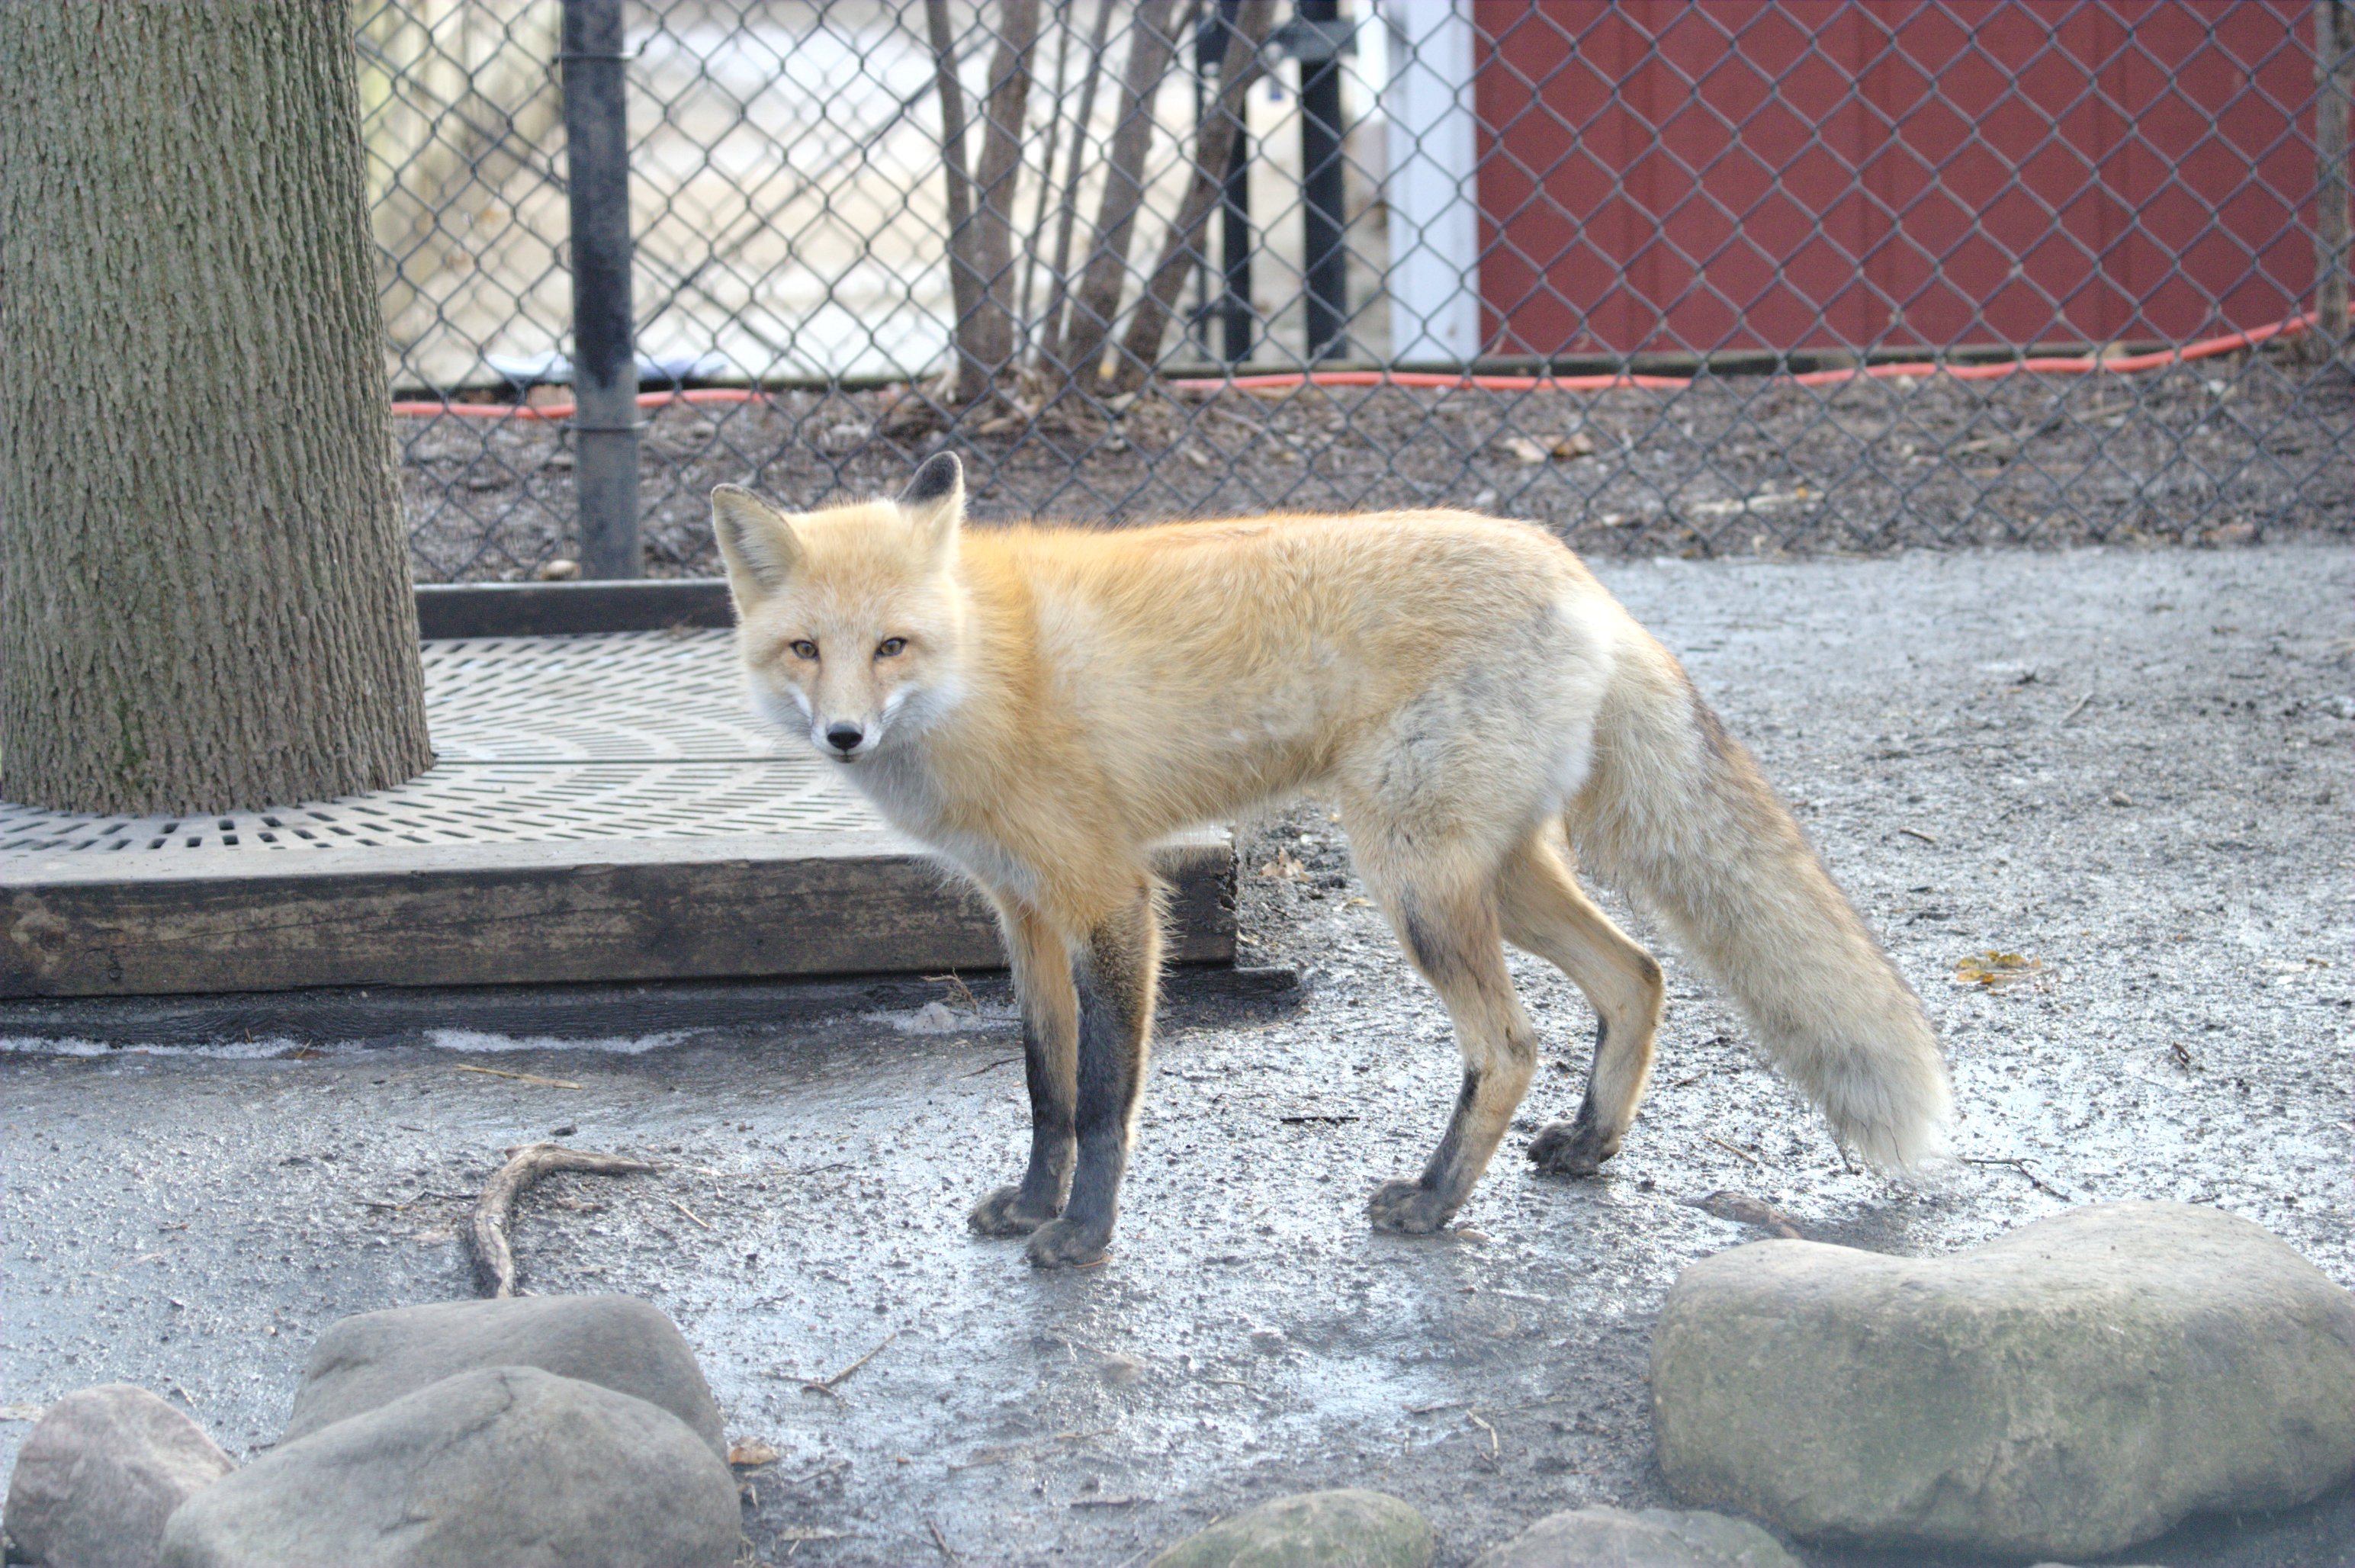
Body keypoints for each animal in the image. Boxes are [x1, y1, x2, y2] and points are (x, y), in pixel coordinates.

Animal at [710, 452, 1951, 1269]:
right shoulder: (1022, 913)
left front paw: (1082, 1234)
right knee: (1639, 974)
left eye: (893, 645)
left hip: (1412, 878)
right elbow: (1045, 1089)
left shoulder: (1115, 899)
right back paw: (1591, 1145)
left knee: (1510, 1044)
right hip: (1494, 875)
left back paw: (1435, 1203)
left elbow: (1107, 1099)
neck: (980, 667)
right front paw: (1029, 1204)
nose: (843, 735)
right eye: (805, 649)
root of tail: (1576, 571)